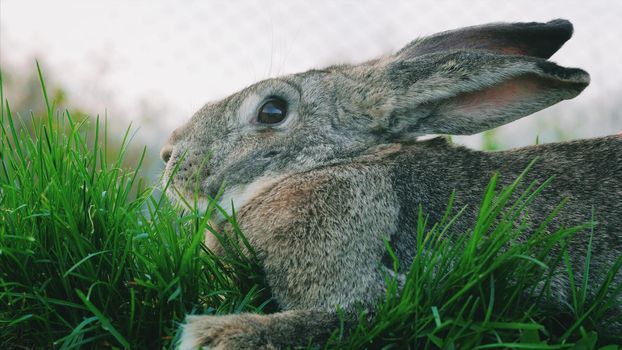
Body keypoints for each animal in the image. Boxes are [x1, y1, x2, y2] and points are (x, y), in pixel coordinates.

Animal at [162, 19, 622, 350]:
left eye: (272, 111)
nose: (169, 155)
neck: (336, 163)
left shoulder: (372, 286)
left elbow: (345, 317)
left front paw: (210, 335)